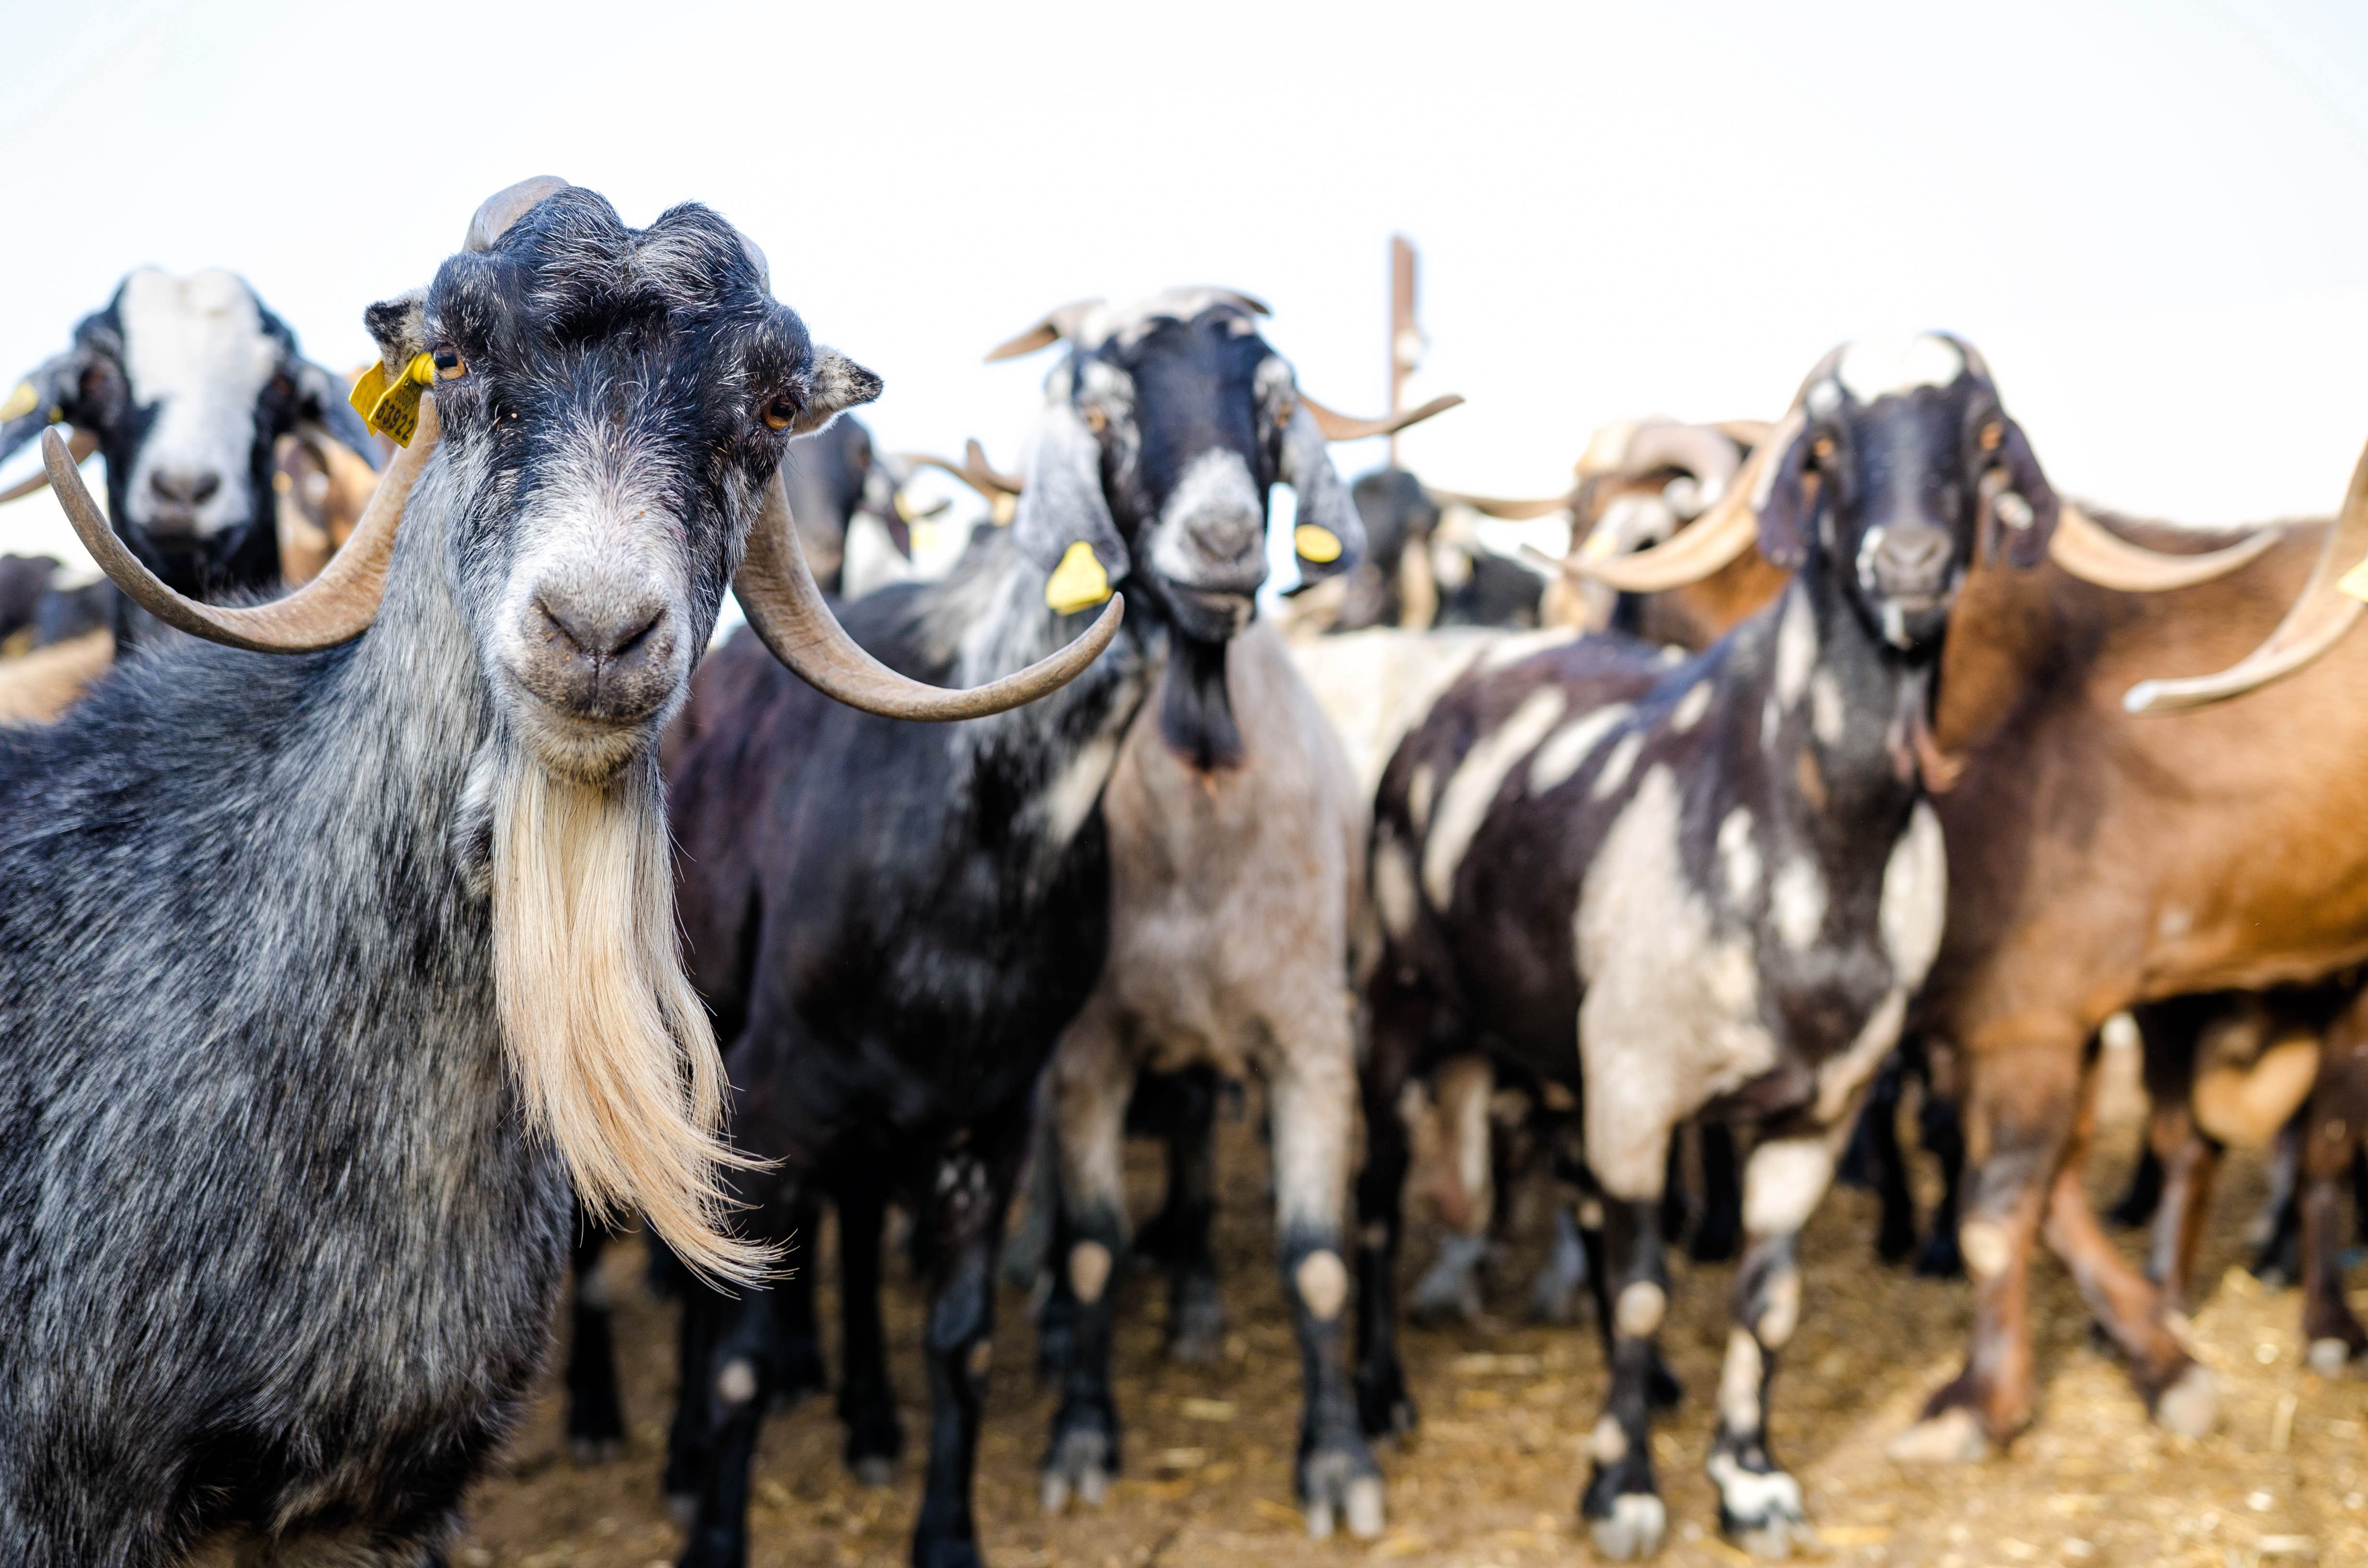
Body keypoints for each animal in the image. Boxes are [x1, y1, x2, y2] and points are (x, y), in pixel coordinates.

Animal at [658, 291, 1382, 1568]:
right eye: (1103, 407)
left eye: (1271, 403)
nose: (1222, 550)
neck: (977, 819)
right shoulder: (774, 1105)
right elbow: (739, 1349)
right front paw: (713, 1526)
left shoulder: (988, 1115)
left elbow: (965, 1341)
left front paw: (947, 1530)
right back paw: (696, 1458)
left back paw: (870, 1422)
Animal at [1354, 339, 2074, 1563]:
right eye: (1825, 447)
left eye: (1983, 442)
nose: (1912, 562)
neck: (1810, 832)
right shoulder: (1642, 1090)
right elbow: (1650, 1292)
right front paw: (1623, 1490)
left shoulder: (1817, 1112)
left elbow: (1767, 1301)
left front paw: (1749, 1480)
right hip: (1398, 1009)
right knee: (1373, 1201)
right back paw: (1377, 1400)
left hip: (1560, 1051)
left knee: (1580, 1207)